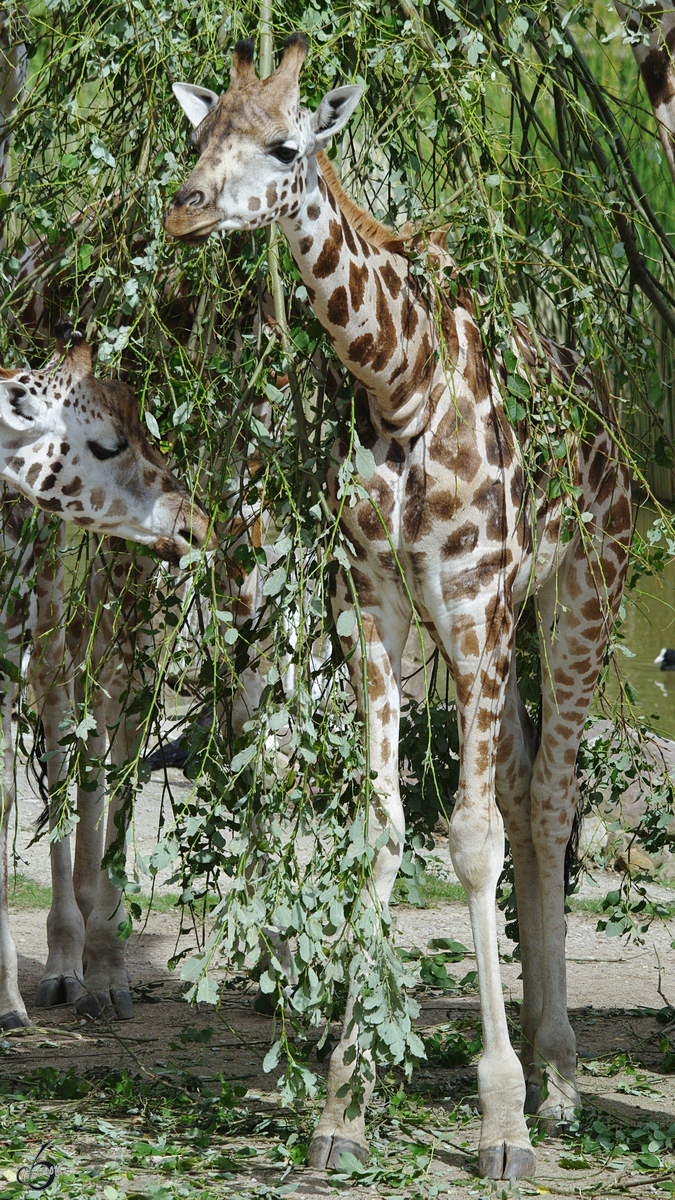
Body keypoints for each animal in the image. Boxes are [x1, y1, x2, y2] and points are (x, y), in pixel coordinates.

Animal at [0, 321, 213, 1032]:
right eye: (107, 443)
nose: (194, 524)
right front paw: (10, 1002)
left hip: (121, 624)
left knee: (107, 746)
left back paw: (102, 969)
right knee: (78, 740)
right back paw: (72, 963)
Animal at [163, 39, 629, 1180]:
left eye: (285, 145)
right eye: (202, 134)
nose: (185, 212)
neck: (400, 383)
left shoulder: (471, 597)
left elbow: (466, 838)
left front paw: (500, 1123)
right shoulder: (376, 603)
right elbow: (381, 827)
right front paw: (343, 1102)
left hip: (579, 590)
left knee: (548, 800)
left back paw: (560, 1078)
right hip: (503, 627)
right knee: (522, 784)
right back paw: (543, 1059)